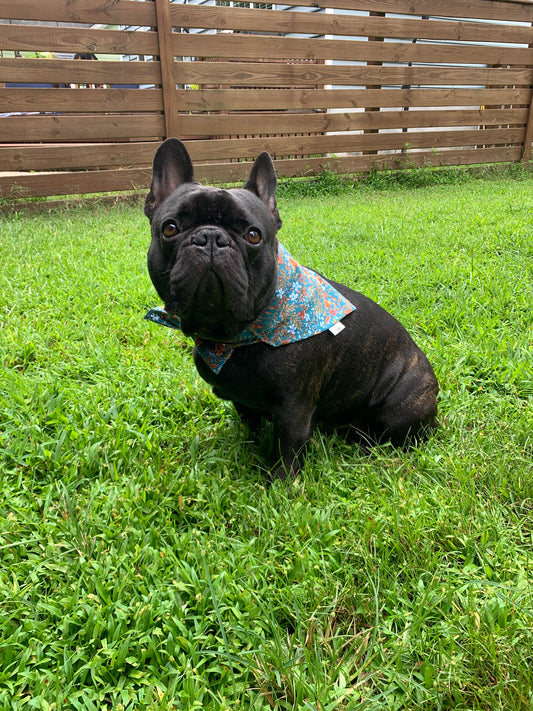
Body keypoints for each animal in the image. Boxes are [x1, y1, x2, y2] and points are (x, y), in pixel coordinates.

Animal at [143, 138, 438, 484]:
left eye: (253, 235)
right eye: (170, 229)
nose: (211, 237)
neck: (235, 335)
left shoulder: (294, 410)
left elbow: (289, 448)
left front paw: (283, 485)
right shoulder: (243, 401)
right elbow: (250, 426)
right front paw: (248, 450)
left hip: (401, 406)